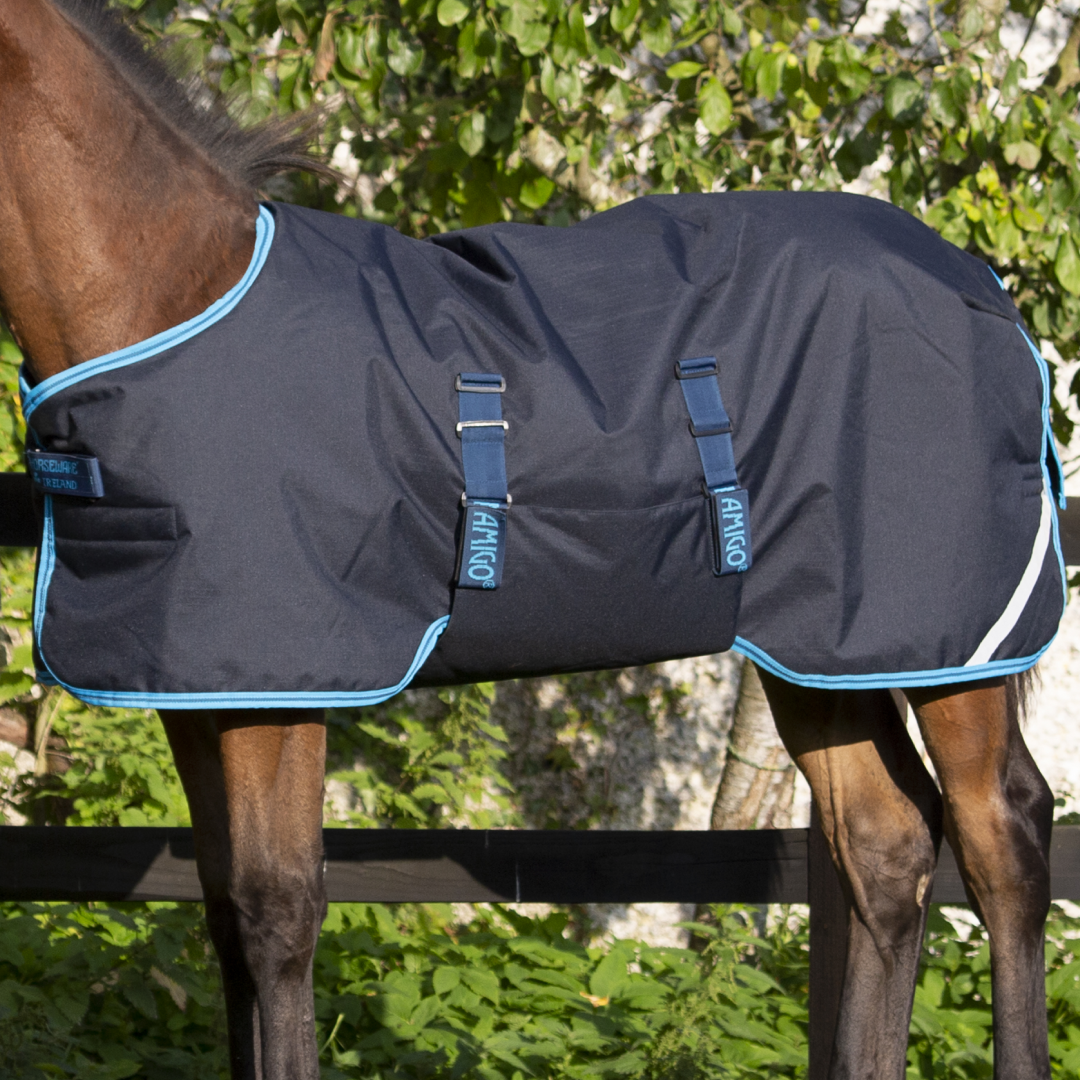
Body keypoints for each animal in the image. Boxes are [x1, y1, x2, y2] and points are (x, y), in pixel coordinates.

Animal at [0, 3, 1058, 1079]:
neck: (170, 292)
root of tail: (979, 283)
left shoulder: (286, 689)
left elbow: (275, 915)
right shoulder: (200, 690)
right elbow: (223, 918)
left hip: (949, 642)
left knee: (1001, 833)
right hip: (822, 651)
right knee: (888, 844)